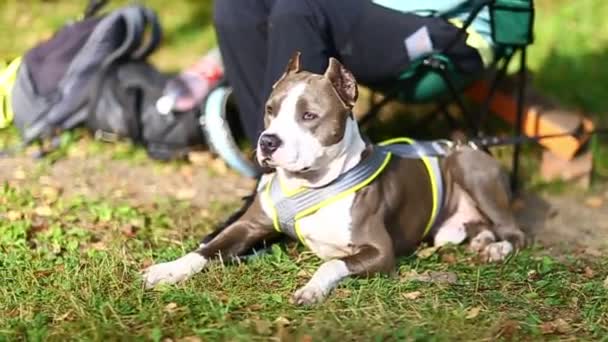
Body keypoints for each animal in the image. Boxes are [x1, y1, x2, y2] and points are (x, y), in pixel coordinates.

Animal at [144, 51, 528, 304]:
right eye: (270, 110)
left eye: (309, 115)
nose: (267, 142)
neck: (309, 184)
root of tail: (470, 143)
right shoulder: (248, 226)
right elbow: (207, 250)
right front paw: (168, 269)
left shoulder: (380, 251)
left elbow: (331, 263)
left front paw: (311, 288)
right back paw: (482, 241)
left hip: (469, 167)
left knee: (514, 232)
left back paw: (497, 247)